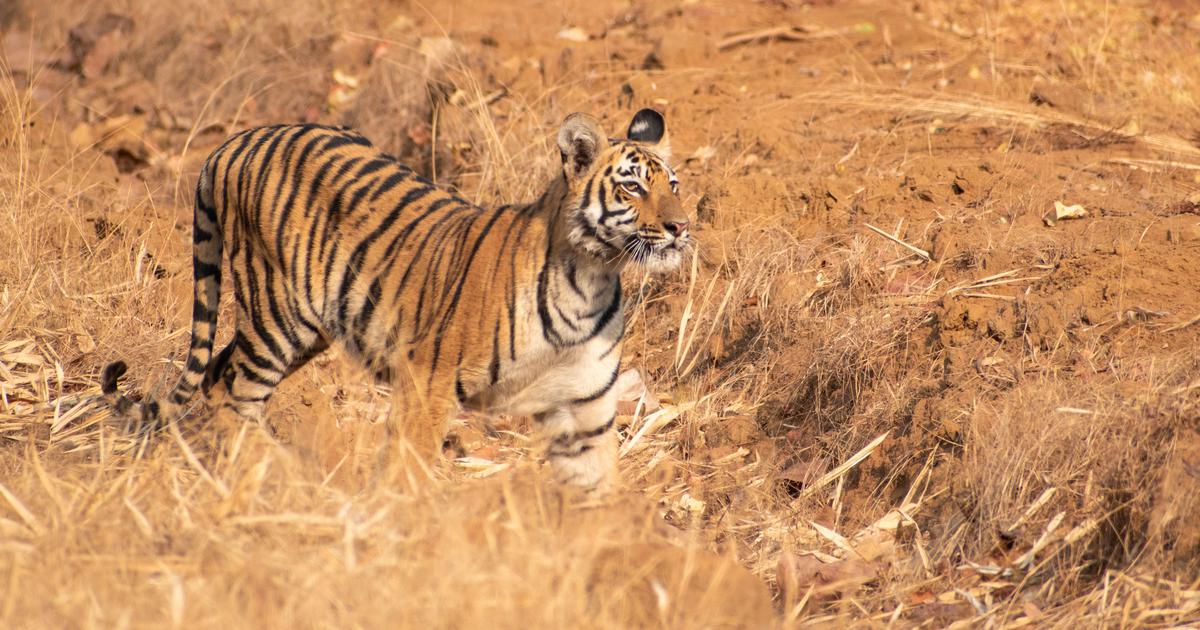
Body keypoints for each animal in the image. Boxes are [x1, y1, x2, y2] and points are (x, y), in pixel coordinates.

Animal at [101, 108, 689, 492]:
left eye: (674, 185)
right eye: (633, 187)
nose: (682, 226)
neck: (592, 276)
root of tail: (237, 141)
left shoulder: (586, 403)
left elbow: (597, 486)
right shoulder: (428, 380)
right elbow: (409, 465)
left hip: (305, 328)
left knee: (218, 373)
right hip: (278, 313)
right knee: (233, 392)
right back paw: (271, 476)